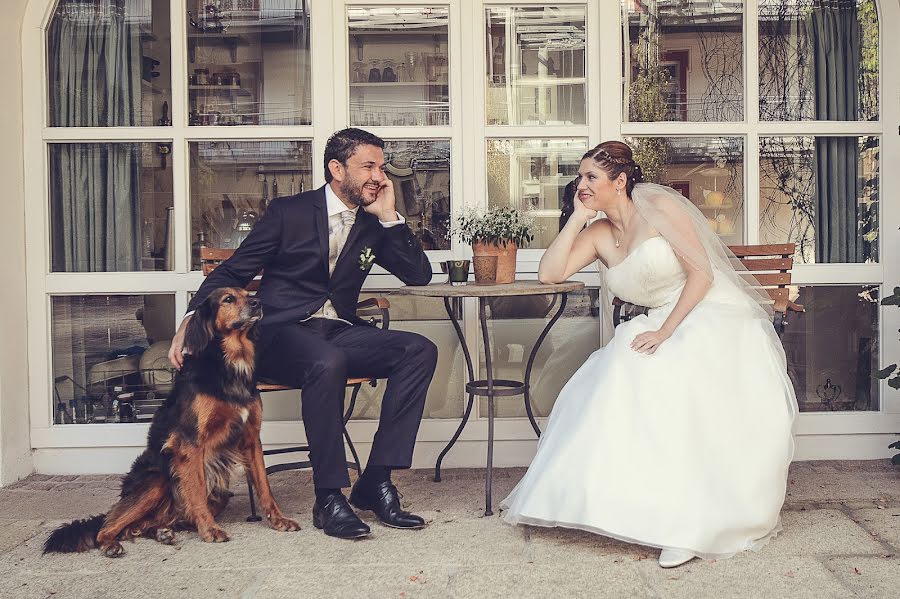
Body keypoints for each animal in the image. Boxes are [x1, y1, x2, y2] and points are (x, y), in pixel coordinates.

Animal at [44, 288, 298, 560]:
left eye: (247, 292)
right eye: (228, 299)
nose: (257, 302)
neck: (229, 362)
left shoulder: (251, 439)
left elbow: (264, 485)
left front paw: (278, 520)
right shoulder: (191, 443)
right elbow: (196, 490)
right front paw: (210, 530)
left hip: (219, 492)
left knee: (147, 524)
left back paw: (162, 532)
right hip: (158, 481)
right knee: (109, 526)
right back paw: (112, 543)